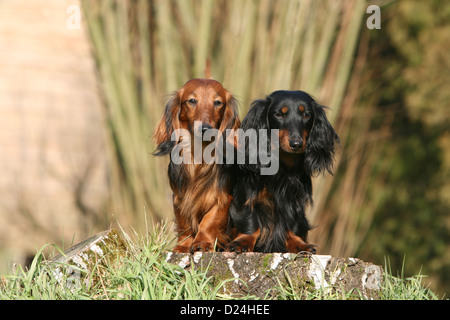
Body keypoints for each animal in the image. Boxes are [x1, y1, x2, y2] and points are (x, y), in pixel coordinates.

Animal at [229, 91, 338, 254]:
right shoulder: (248, 192)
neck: (283, 165)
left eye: (306, 115)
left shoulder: (294, 199)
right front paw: (244, 241)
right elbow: (250, 218)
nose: (296, 144)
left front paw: (298, 243)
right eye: (279, 114)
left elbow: (292, 222)